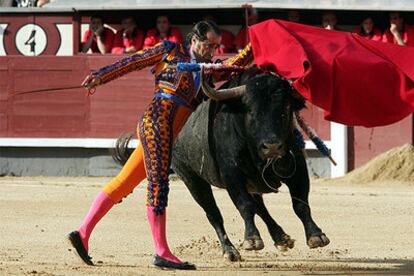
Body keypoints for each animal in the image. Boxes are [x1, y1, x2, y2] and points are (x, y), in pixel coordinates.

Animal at [113, 68, 330, 262]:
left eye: (285, 109)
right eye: (250, 111)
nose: (272, 146)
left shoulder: (297, 169)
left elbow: (300, 204)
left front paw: (316, 236)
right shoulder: (231, 175)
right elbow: (244, 205)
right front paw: (251, 240)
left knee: (260, 206)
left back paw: (282, 239)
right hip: (192, 179)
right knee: (215, 213)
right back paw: (230, 251)